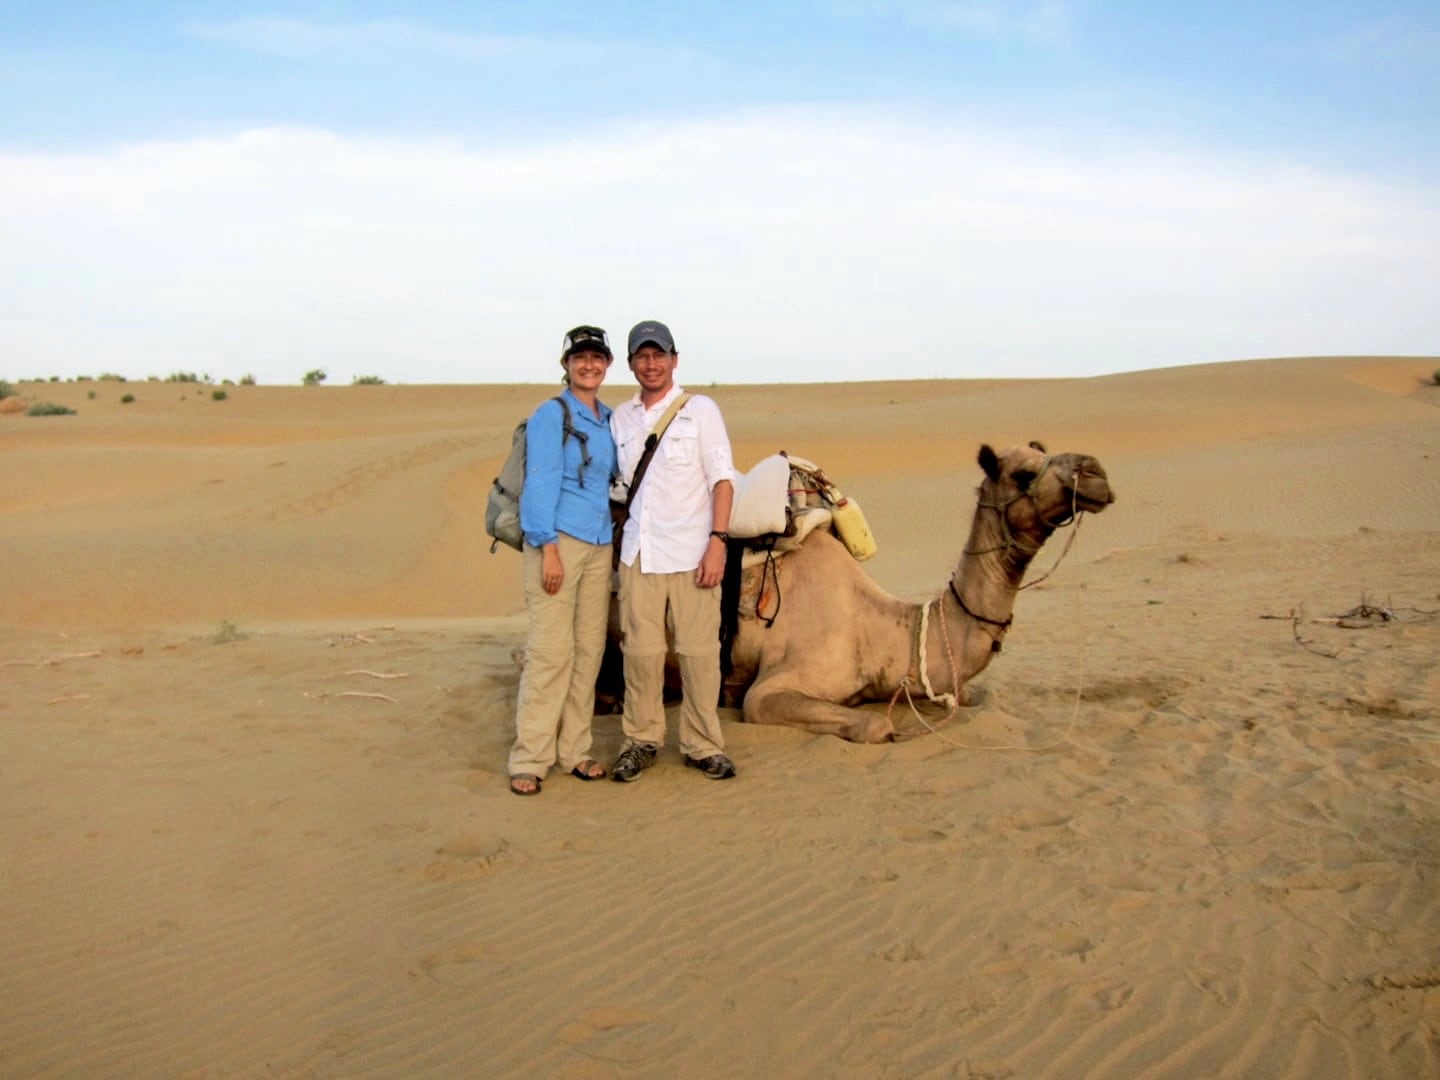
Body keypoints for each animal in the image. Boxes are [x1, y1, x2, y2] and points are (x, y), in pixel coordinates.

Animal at [717, 440, 1111, 743]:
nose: (1095, 473)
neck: (880, 633)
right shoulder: (770, 690)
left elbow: (966, 694)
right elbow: (878, 724)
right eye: (1023, 475)